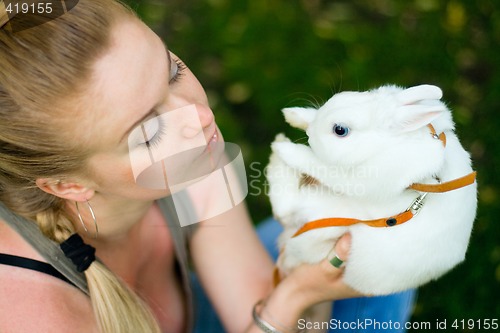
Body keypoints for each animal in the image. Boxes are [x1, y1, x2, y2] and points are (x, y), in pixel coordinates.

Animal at [268, 83, 478, 294]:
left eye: (340, 130)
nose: (310, 134)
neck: (383, 145)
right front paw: (294, 115)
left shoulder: (353, 177)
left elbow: (316, 163)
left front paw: (290, 150)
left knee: (284, 208)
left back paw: (279, 147)